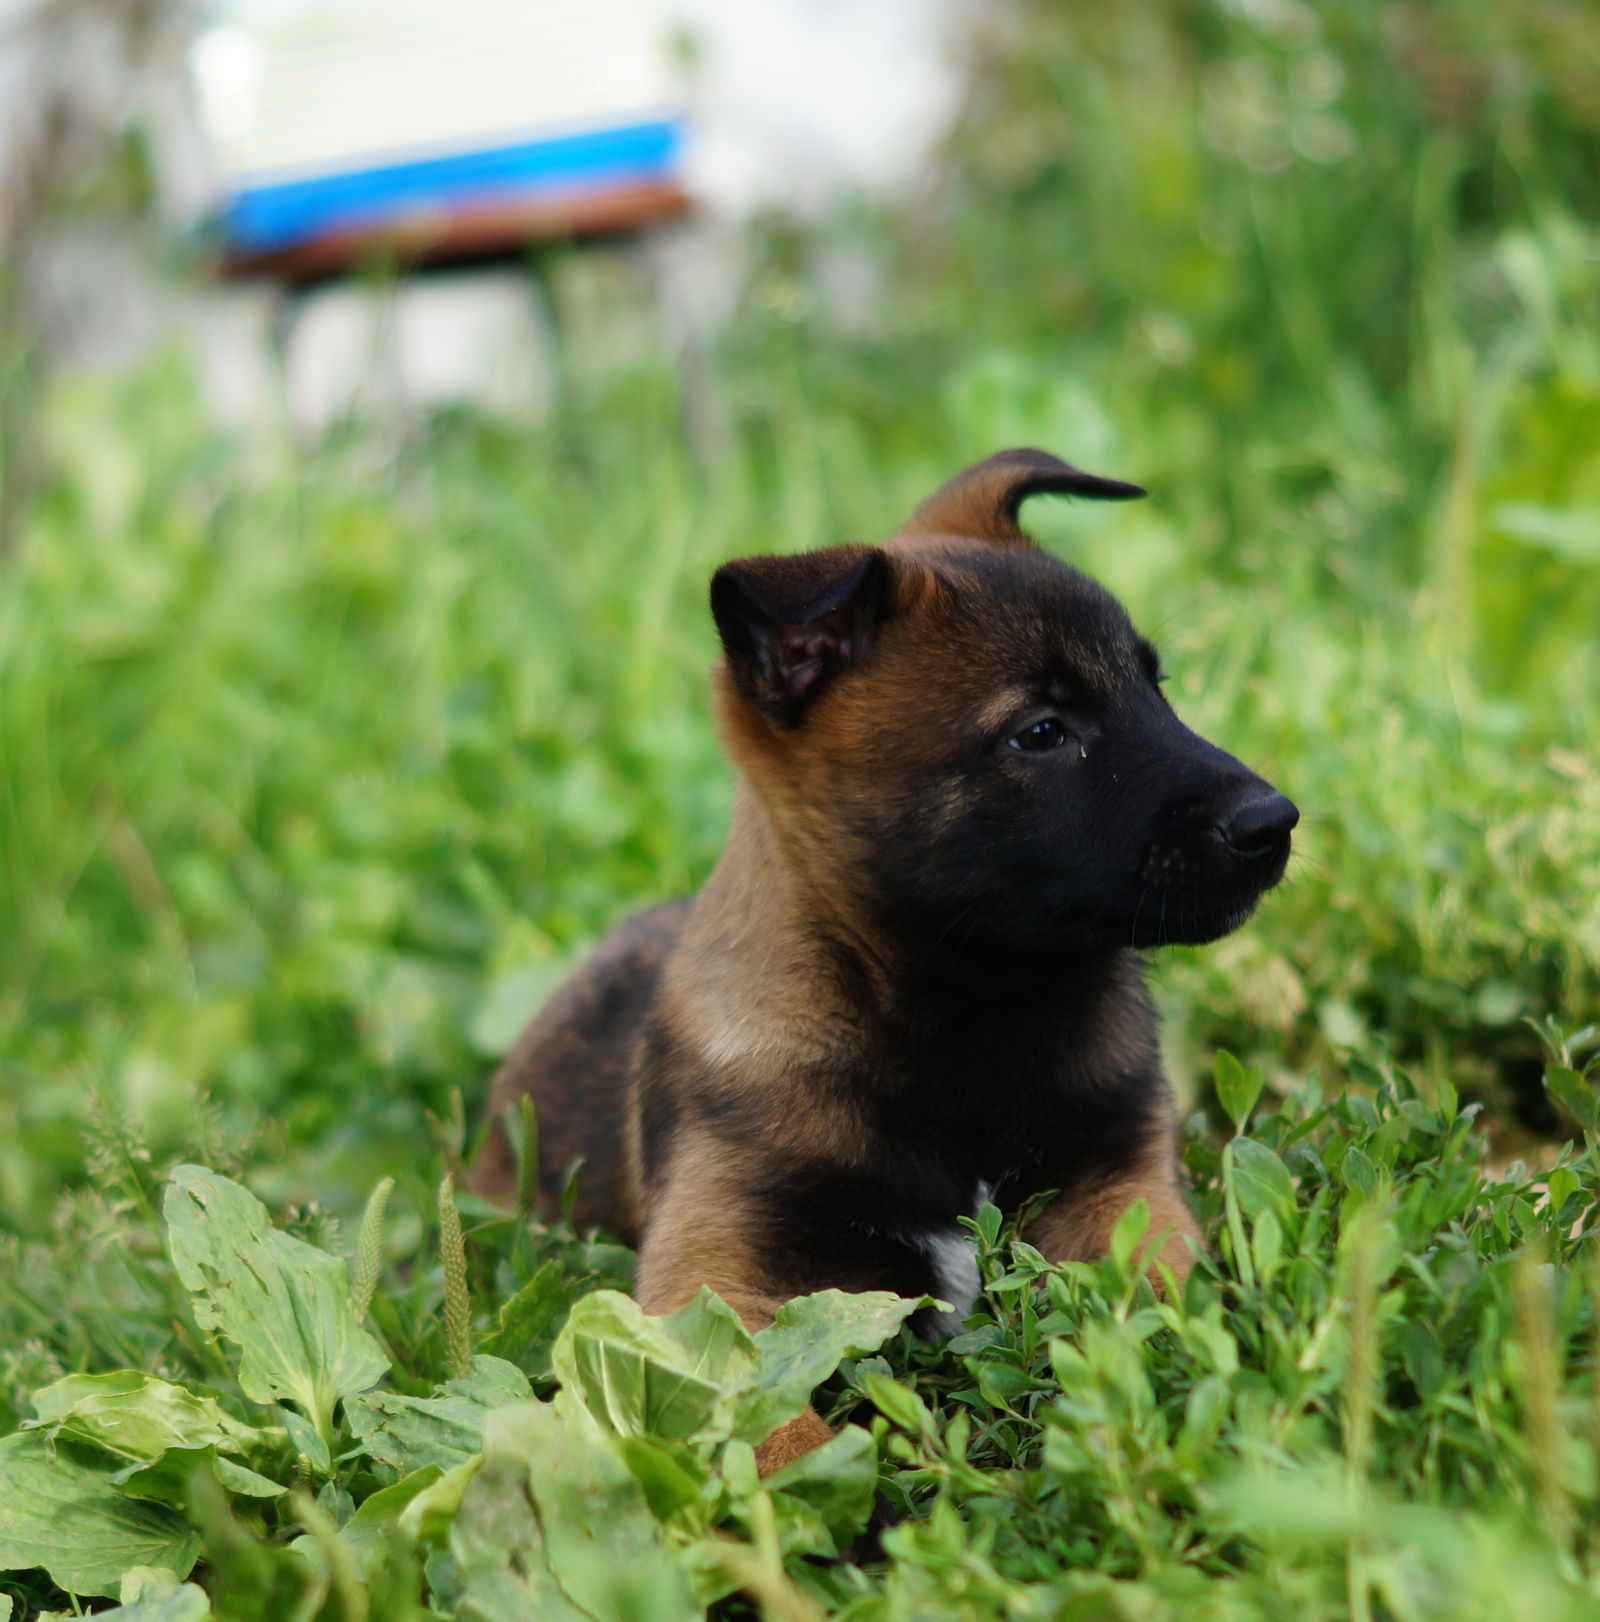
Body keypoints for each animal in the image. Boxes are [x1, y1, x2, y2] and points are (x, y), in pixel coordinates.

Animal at [467, 447, 1291, 1472]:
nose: (1275, 823)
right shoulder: (709, 1274)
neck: (962, 1025)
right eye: (1041, 732)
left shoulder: (1122, 1185)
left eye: (1157, 685)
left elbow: (1166, 1299)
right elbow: (767, 1425)